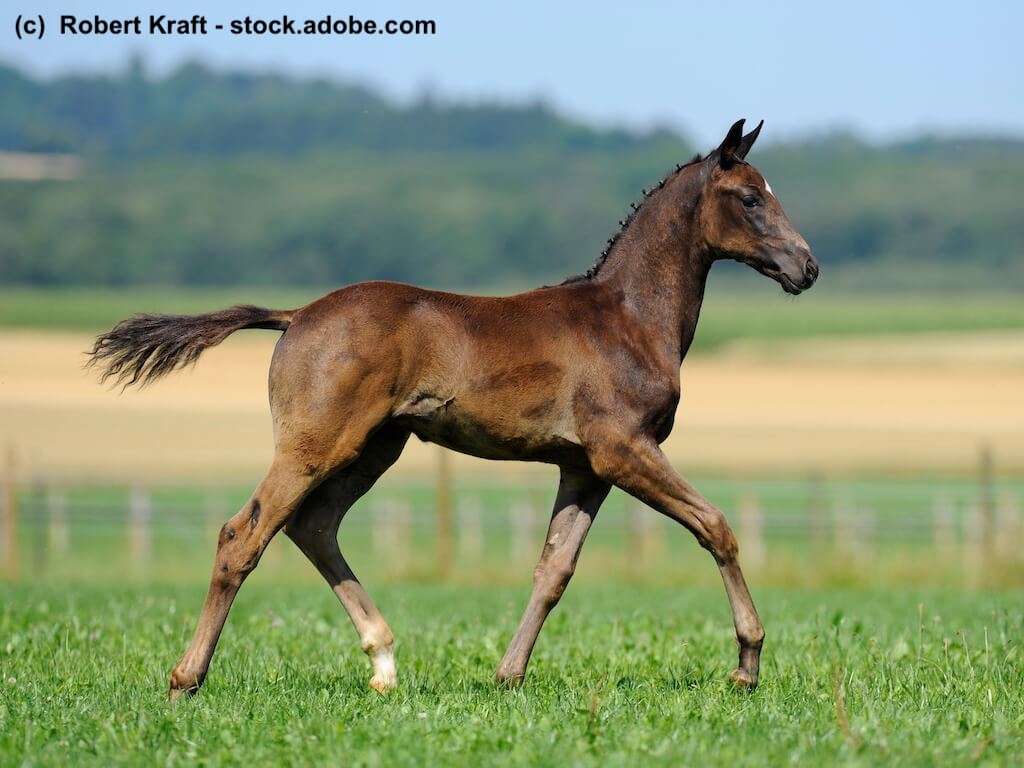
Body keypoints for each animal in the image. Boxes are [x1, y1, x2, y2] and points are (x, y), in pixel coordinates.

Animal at [89, 118, 818, 701]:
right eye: (750, 197)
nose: (807, 268)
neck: (629, 319)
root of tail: (295, 315)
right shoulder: (625, 449)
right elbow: (716, 527)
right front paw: (747, 665)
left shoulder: (584, 467)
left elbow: (555, 568)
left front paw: (508, 675)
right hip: (316, 444)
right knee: (244, 537)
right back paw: (186, 681)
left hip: (375, 447)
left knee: (313, 526)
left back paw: (383, 663)